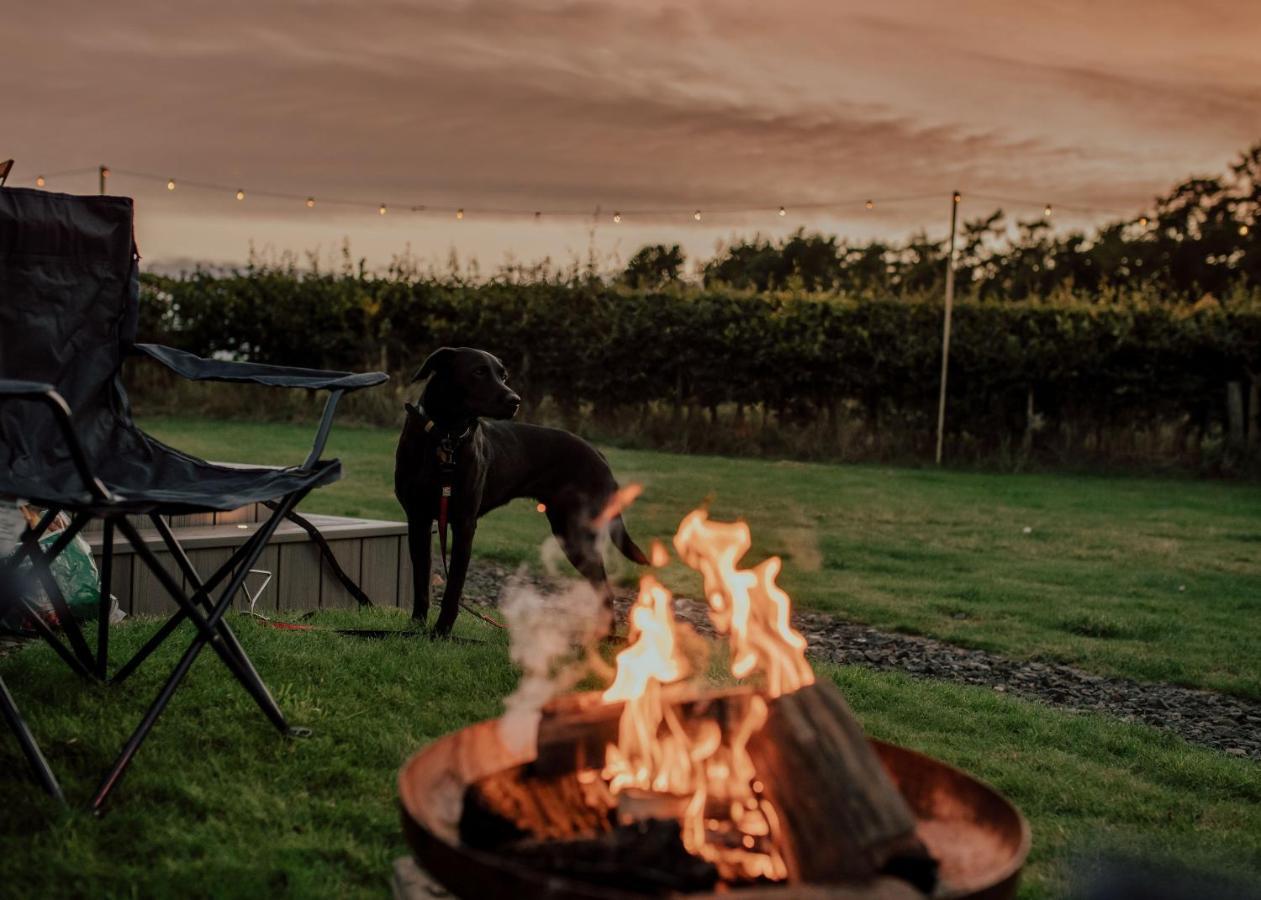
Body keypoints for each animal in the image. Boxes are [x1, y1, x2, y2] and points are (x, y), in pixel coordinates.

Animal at [393, 342, 650, 630]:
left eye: (503, 376)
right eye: (479, 371)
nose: (515, 400)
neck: (446, 437)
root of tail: (599, 455)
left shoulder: (464, 523)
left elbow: (454, 587)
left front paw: (441, 632)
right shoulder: (418, 519)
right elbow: (421, 580)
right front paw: (416, 626)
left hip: (576, 532)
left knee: (604, 589)